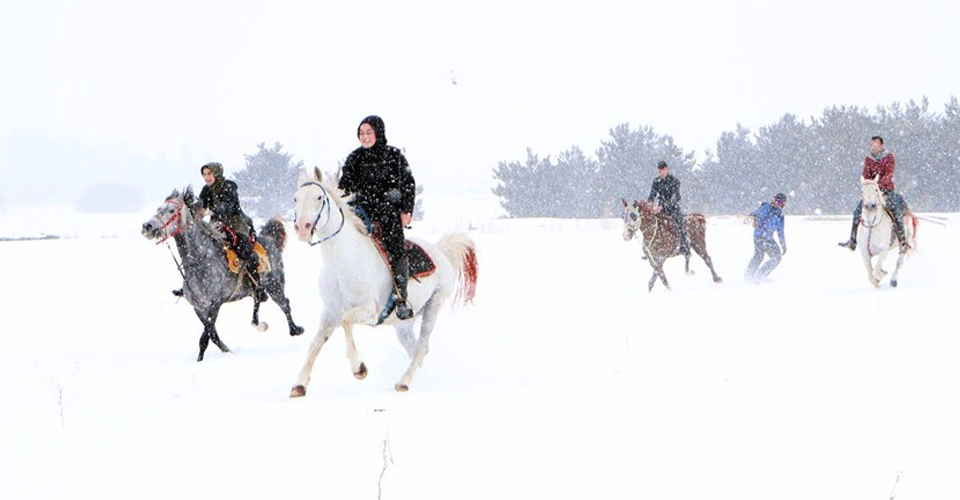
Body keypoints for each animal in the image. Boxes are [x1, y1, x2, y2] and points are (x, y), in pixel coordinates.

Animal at [140, 187, 300, 360]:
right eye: (158, 209)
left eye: (171, 210)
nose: (147, 226)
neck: (199, 262)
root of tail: (270, 239)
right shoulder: (199, 308)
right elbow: (212, 335)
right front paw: (227, 352)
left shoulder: (214, 304)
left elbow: (205, 338)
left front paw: (201, 360)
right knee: (258, 299)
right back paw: (258, 324)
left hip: (275, 285)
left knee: (285, 304)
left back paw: (295, 330)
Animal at [286, 168, 478, 398]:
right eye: (295, 198)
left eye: (319, 197)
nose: (302, 228)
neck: (342, 263)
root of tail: (440, 252)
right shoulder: (330, 311)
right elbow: (315, 344)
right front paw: (299, 385)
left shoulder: (370, 310)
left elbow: (347, 322)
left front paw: (359, 368)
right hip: (404, 325)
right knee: (415, 349)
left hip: (433, 307)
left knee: (422, 346)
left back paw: (404, 382)